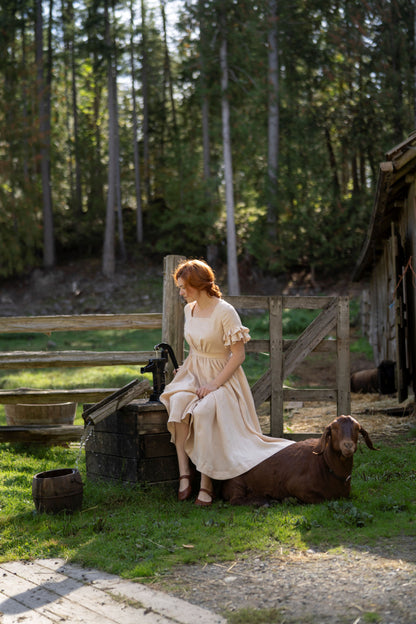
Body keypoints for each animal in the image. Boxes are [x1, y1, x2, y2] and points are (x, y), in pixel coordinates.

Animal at [223, 414, 376, 508]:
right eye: (334, 429)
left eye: (357, 429)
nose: (348, 445)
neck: (323, 463)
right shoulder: (296, 486)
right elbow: (321, 499)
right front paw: (288, 499)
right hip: (236, 482)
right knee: (235, 500)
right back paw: (265, 502)